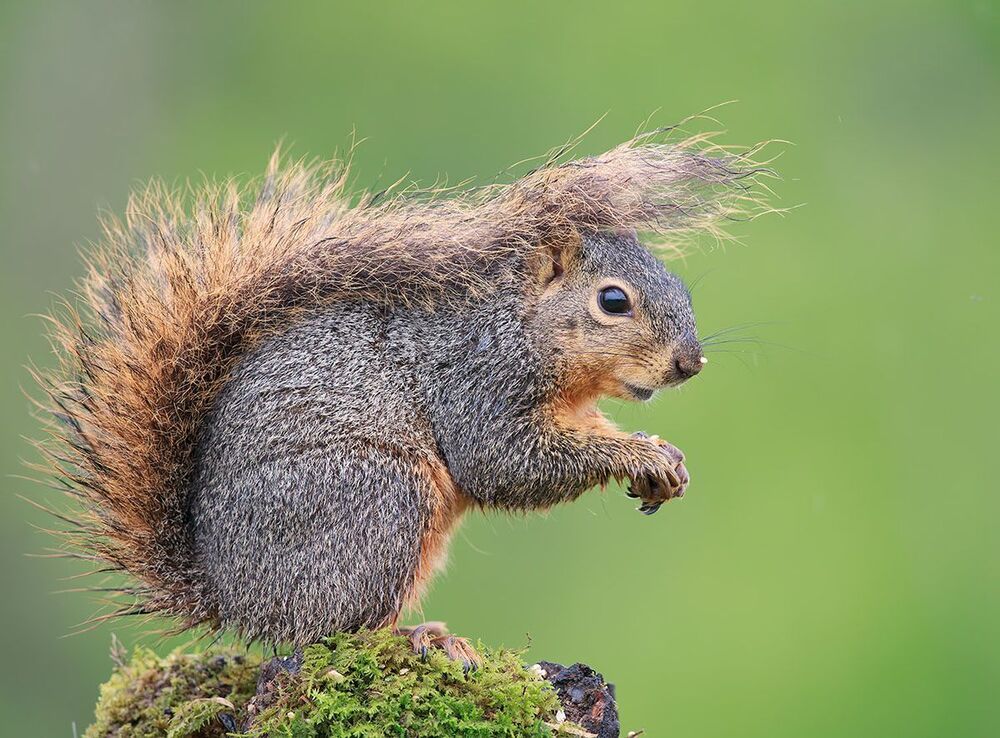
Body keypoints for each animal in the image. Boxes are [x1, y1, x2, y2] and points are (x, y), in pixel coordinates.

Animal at [31, 134, 764, 664]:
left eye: (682, 287)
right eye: (613, 301)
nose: (689, 364)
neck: (523, 327)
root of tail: (233, 597)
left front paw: (664, 457)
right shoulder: (477, 383)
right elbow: (505, 463)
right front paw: (638, 454)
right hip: (381, 498)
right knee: (327, 630)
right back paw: (416, 639)